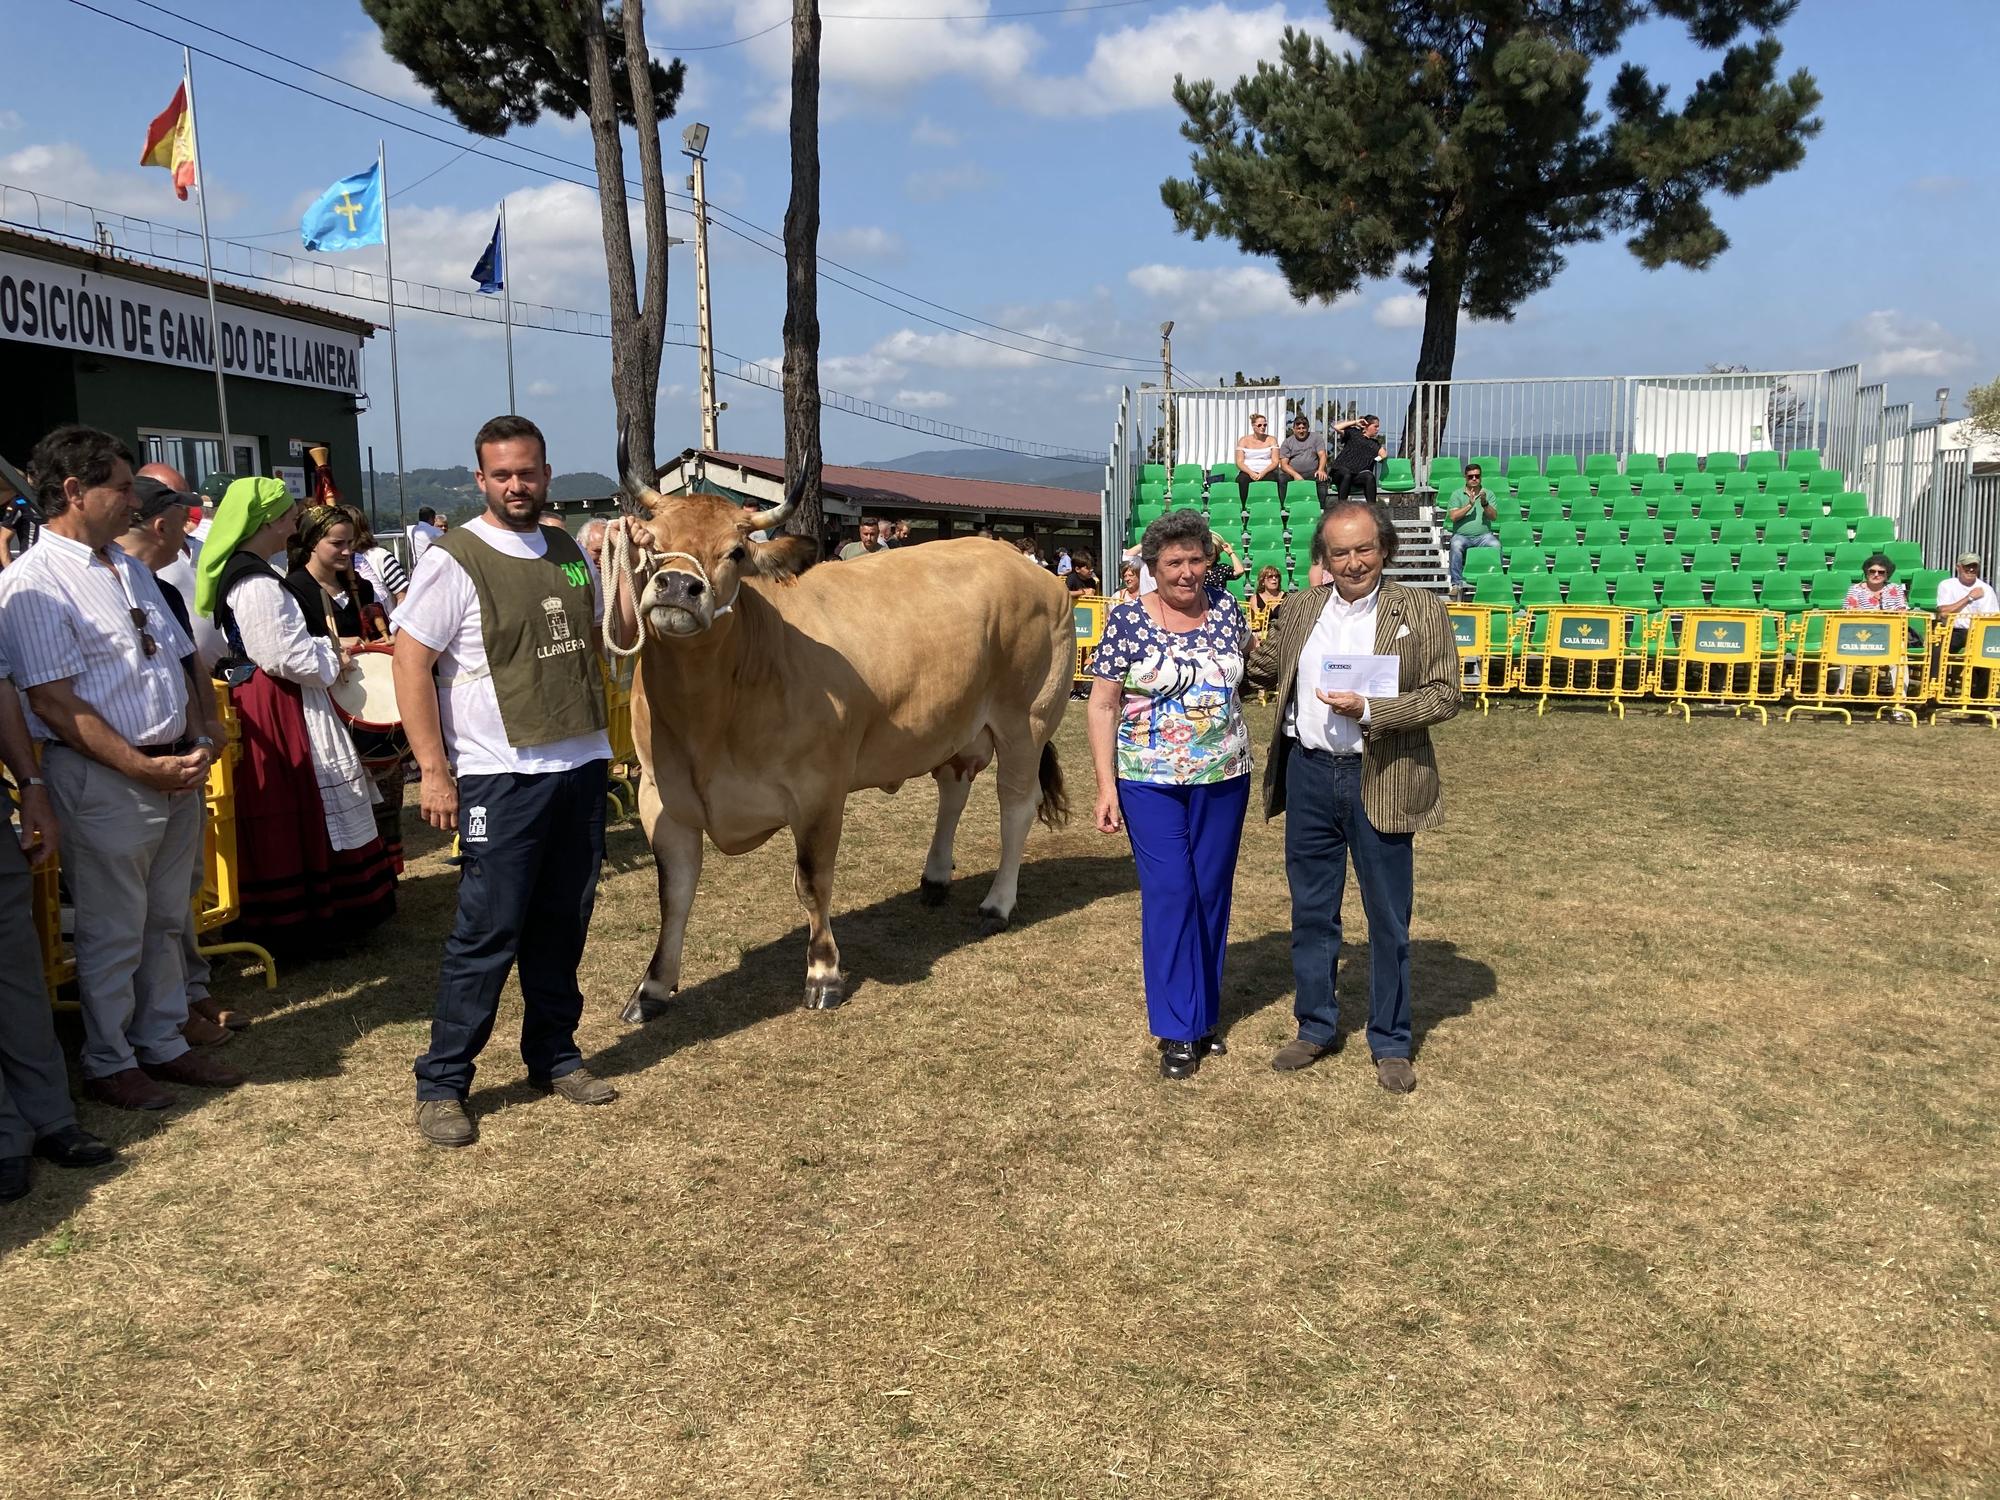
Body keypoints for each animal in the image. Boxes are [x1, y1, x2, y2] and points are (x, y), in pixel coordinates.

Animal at [608, 464, 1080, 1016]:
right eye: (653, 545)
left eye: (737, 552)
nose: (679, 585)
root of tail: (1025, 563)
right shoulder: (660, 797)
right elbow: (674, 893)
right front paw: (652, 987)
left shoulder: (818, 791)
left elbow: (812, 882)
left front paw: (824, 973)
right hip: (955, 722)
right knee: (954, 788)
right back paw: (935, 878)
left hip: (1027, 718)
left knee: (1016, 806)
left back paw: (998, 903)